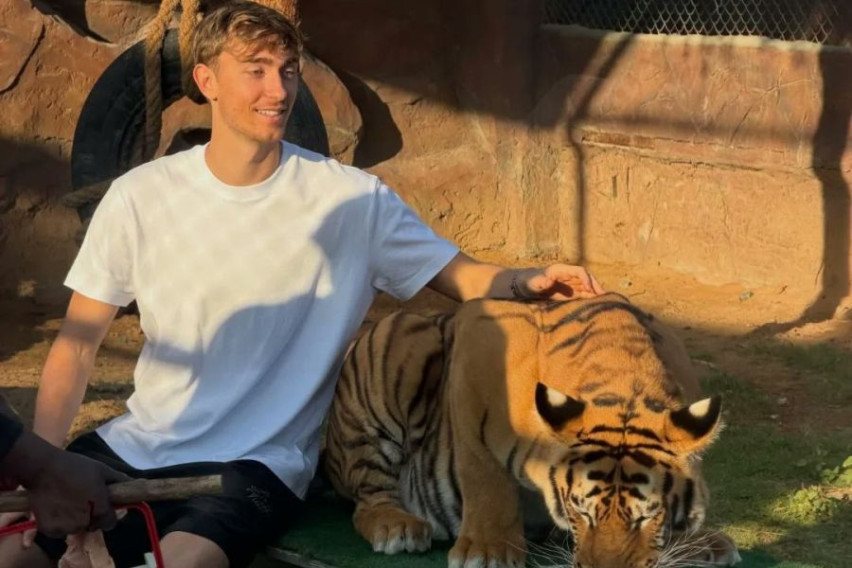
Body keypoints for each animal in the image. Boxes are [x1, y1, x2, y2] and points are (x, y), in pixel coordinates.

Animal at [322, 293, 741, 568]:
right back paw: (397, 525)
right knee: (369, 496)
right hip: (403, 338)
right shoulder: (479, 345)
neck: (628, 379)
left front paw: (694, 539)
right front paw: (488, 551)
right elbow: (483, 473)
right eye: (582, 512)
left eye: (644, 518)